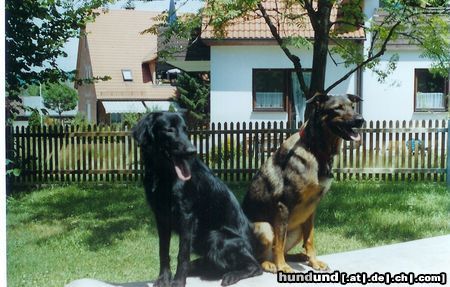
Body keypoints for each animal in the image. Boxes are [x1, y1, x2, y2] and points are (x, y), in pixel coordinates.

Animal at [132, 113, 262, 287]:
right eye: (169, 130)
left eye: (185, 130)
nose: (192, 151)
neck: (164, 174)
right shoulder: (161, 217)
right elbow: (163, 250)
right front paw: (163, 278)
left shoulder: (186, 216)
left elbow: (183, 253)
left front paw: (178, 281)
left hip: (217, 237)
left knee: (256, 266)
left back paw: (231, 275)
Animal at [241, 94, 364, 274]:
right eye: (337, 108)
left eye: (352, 107)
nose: (360, 120)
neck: (316, 151)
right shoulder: (283, 206)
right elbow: (279, 243)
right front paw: (282, 266)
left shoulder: (310, 209)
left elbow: (310, 240)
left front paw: (313, 261)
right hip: (265, 227)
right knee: (262, 255)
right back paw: (270, 263)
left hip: (297, 227)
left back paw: (298, 256)